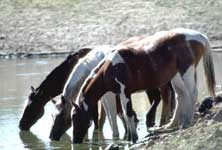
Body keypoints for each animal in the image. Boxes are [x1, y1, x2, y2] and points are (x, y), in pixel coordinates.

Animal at [71, 27, 215, 144]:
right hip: (176, 76)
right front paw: (130, 138)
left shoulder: (124, 93)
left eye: (74, 117)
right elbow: (125, 114)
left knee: (192, 93)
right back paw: (173, 124)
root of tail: (200, 36)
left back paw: (187, 122)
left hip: (186, 72)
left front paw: (132, 139)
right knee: (181, 95)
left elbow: (128, 114)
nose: (75, 140)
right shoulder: (120, 94)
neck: (111, 68)